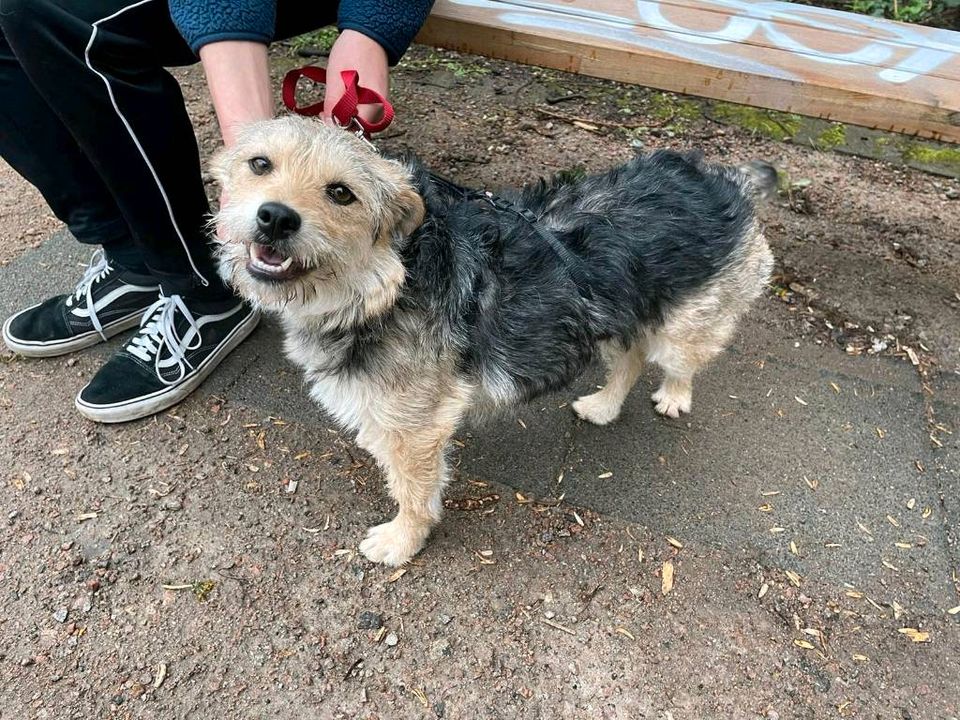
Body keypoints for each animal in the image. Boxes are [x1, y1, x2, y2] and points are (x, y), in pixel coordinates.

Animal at [214, 116, 776, 568]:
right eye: (259, 164)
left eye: (341, 193)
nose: (275, 217)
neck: (386, 284)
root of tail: (727, 179)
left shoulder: (415, 429)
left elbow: (413, 491)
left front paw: (402, 542)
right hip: (615, 315)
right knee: (632, 359)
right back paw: (603, 405)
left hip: (682, 327)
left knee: (678, 362)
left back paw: (674, 396)